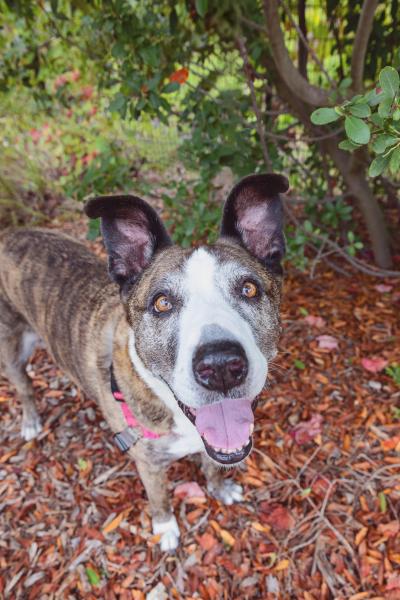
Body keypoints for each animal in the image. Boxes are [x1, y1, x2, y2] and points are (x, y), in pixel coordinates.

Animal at [0, 172, 288, 548]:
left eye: (249, 289)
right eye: (161, 303)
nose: (221, 367)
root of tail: (9, 233)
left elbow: (213, 465)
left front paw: (220, 488)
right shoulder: (148, 464)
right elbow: (159, 496)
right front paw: (165, 528)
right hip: (12, 348)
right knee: (23, 385)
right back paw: (31, 422)